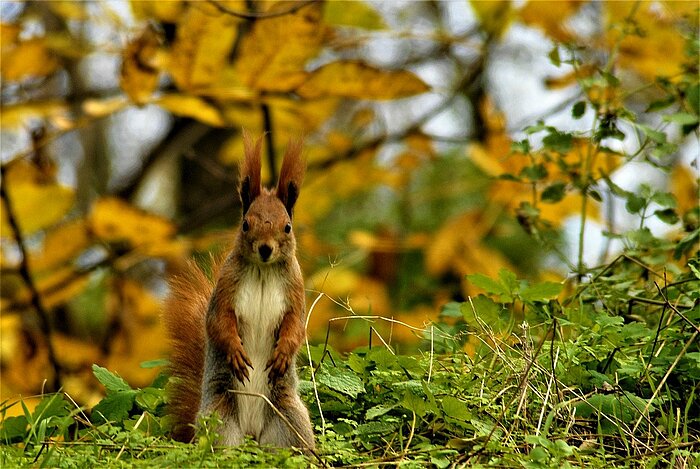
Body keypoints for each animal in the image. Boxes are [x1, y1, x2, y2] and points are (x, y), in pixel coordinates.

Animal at [161, 129, 314, 450]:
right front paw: (235, 352)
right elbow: (218, 322)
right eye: (245, 224)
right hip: (220, 421)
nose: (265, 248)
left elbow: (296, 325)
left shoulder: (296, 289)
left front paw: (283, 352)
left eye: (287, 227)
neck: (263, 271)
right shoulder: (225, 288)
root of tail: (252, 433)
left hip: (289, 420)